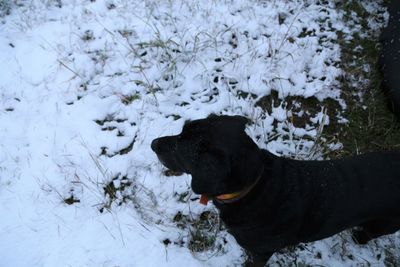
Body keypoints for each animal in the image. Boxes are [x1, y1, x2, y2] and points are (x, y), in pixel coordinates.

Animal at [152, 115, 400, 266]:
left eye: (180, 147)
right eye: (181, 132)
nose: (153, 143)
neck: (255, 186)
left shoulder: (262, 251)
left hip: (384, 223)